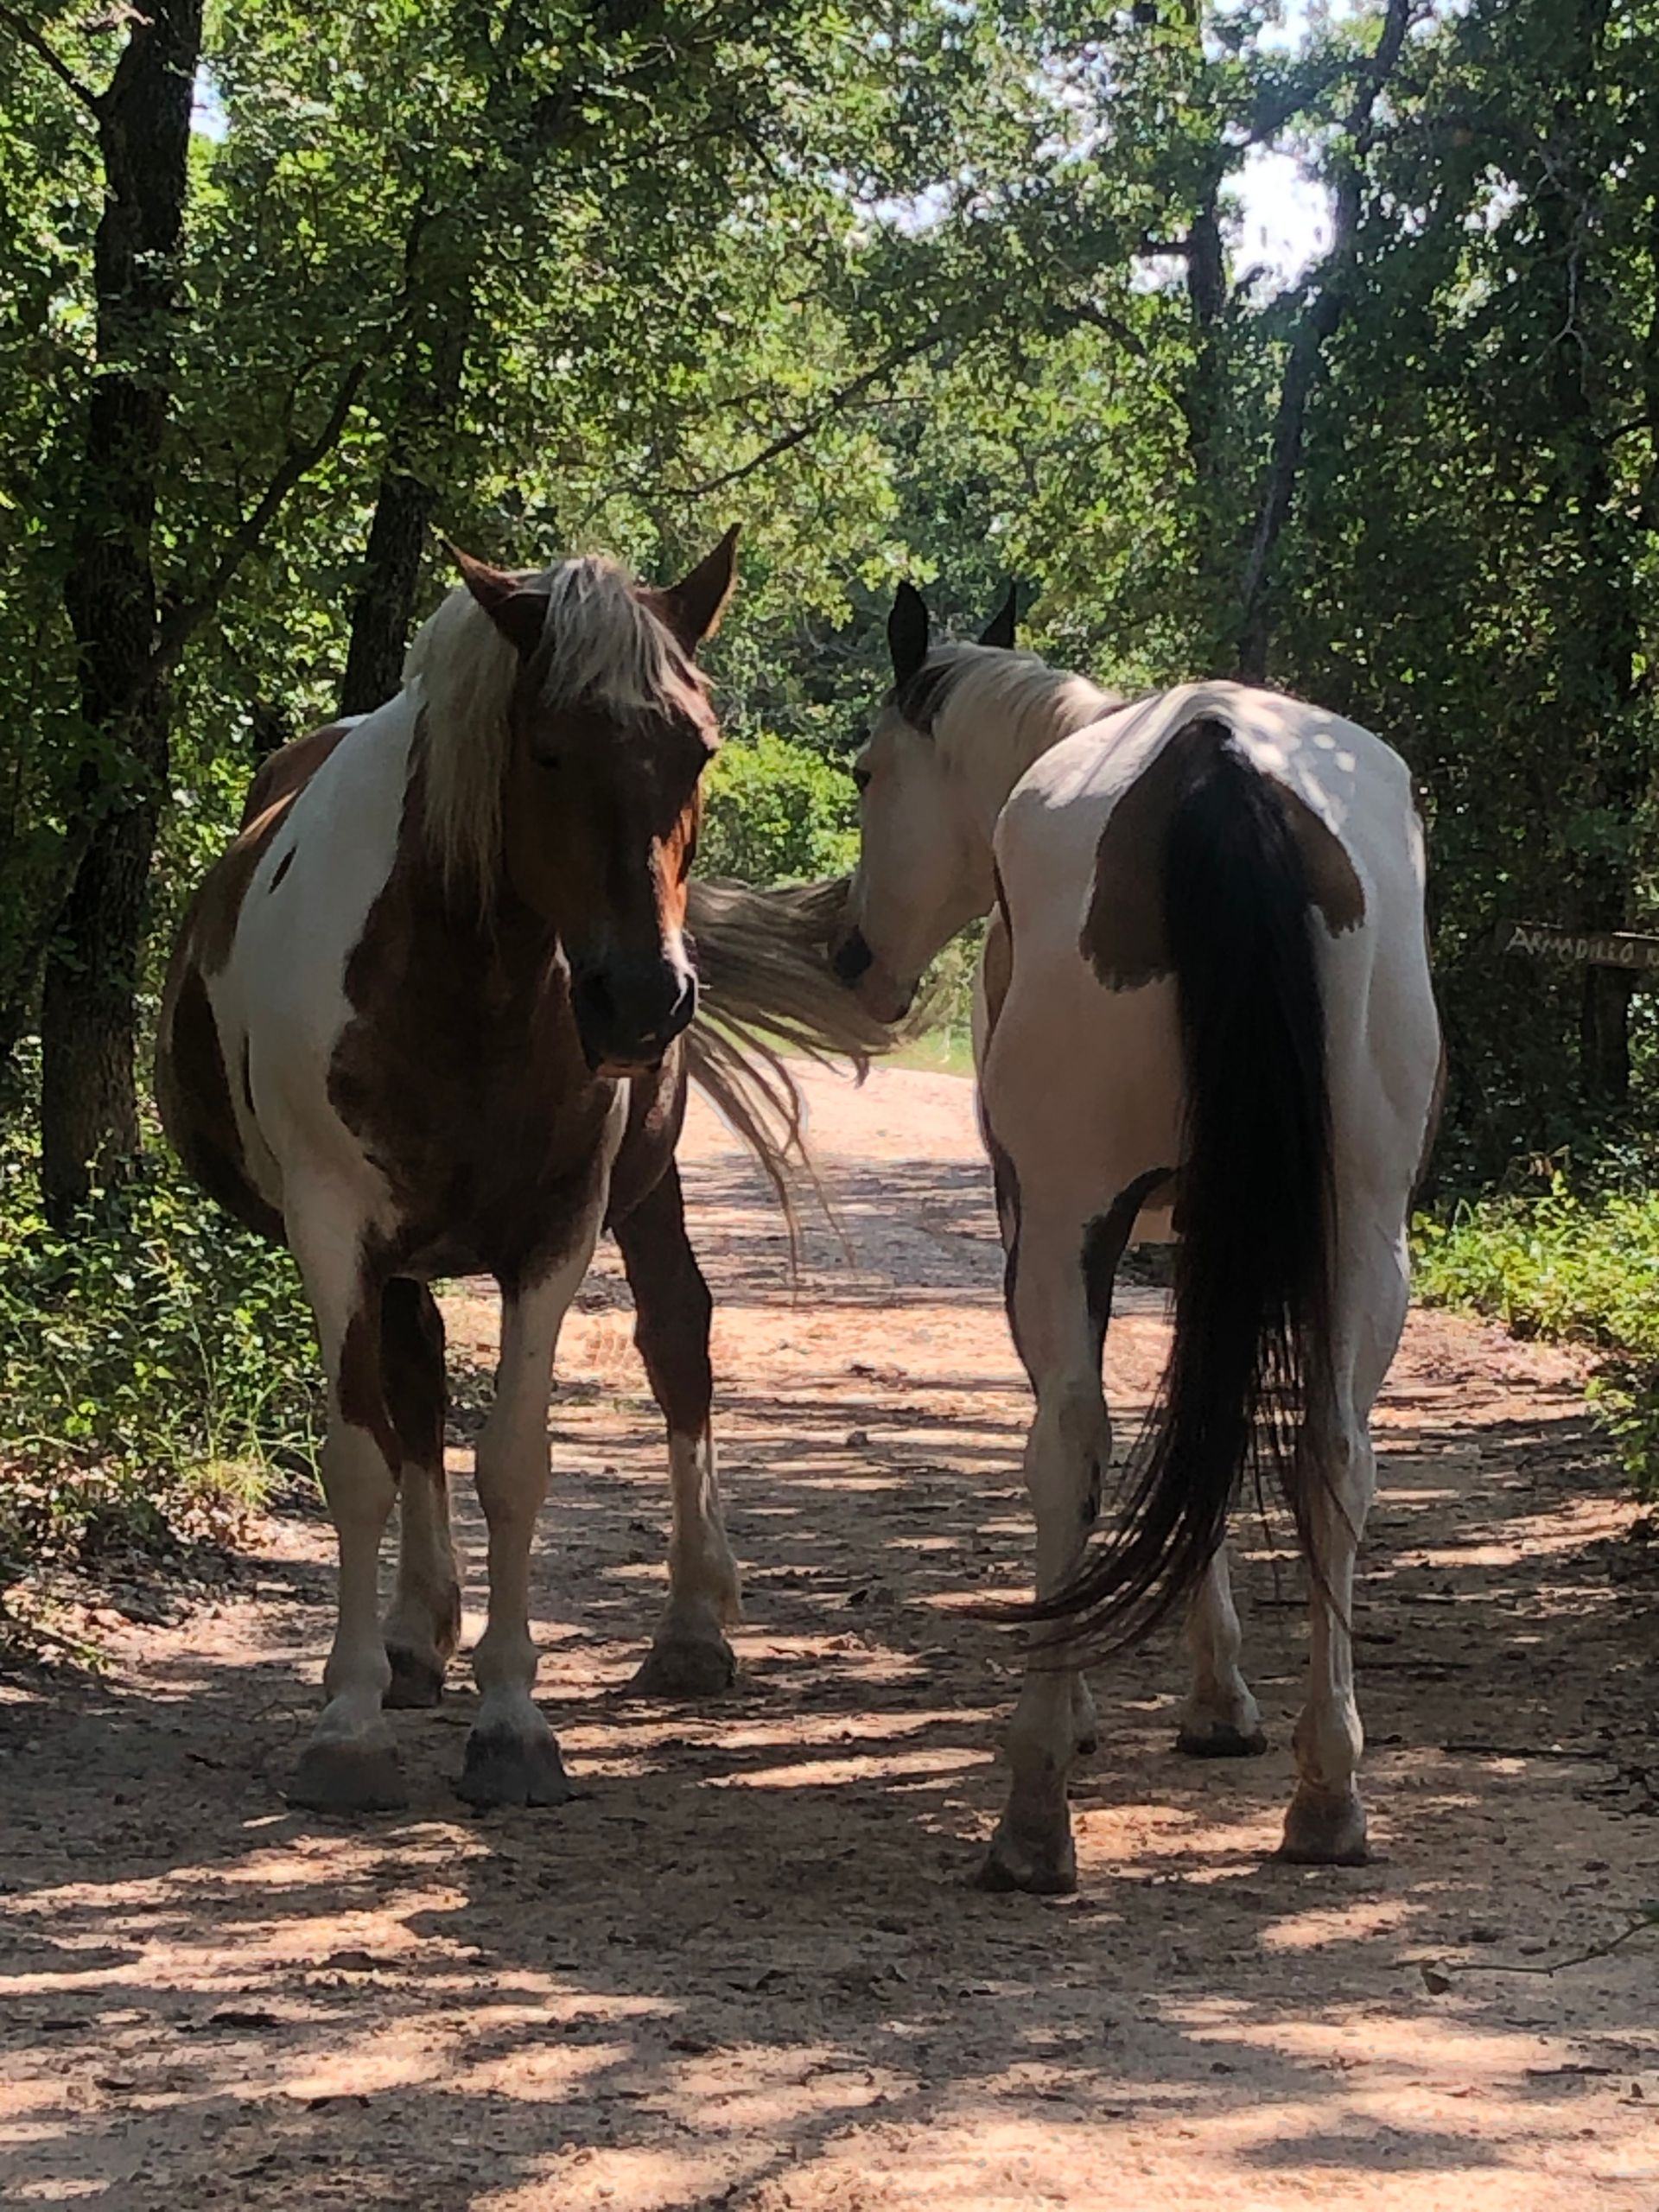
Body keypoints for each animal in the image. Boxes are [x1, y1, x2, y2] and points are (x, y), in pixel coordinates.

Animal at [156, 532, 889, 1815]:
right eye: (546, 747)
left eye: (699, 749)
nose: (641, 999)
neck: (469, 980)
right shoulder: (334, 1231)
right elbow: (362, 1457)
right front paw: (348, 1722)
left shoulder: (558, 1228)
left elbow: (516, 1463)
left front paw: (511, 1724)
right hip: (397, 1249)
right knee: (413, 1387)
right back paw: (413, 1638)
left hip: (643, 1191)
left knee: (677, 1341)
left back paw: (691, 1624)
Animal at [830, 583, 1442, 1893]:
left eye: (865, 773)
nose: (855, 958)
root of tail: (1212, 764)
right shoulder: (1214, 1233)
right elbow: (1207, 1424)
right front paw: (1220, 1699)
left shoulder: (1061, 1228)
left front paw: (1103, 1706)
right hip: (1365, 1233)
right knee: (1334, 1452)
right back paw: (1329, 1795)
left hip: (1066, 1227)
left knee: (1070, 1445)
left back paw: (1033, 1814)